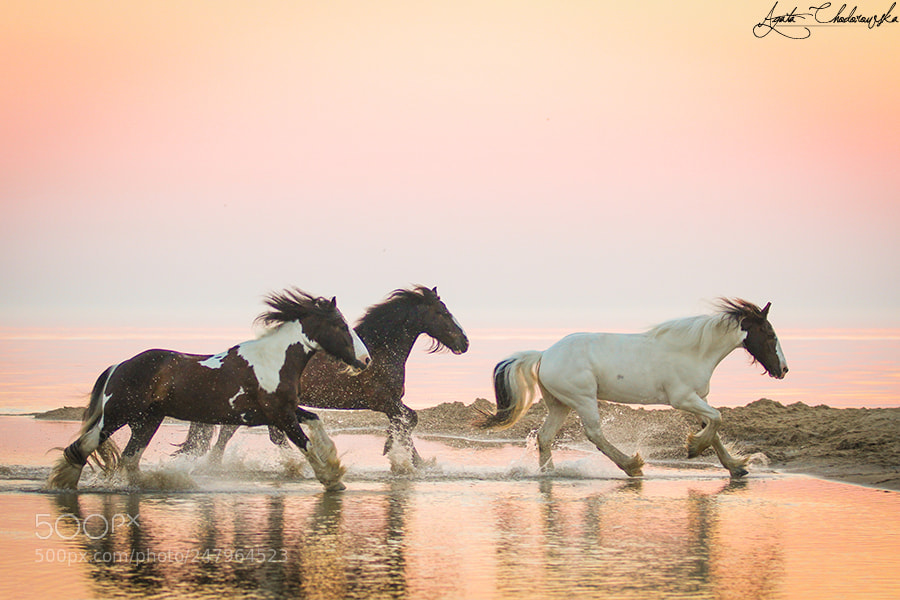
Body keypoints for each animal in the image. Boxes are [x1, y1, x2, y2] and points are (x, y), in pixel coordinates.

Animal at [47, 289, 371, 492]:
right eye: (340, 325)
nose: (366, 360)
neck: (275, 359)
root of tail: (120, 365)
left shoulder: (283, 411)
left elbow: (317, 422)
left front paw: (335, 465)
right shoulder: (280, 415)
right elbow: (305, 445)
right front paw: (331, 479)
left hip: (148, 419)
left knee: (129, 457)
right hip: (118, 414)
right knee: (82, 446)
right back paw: (63, 483)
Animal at [176, 286, 470, 472]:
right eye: (443, 313)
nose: (464, 343)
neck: (381, 352)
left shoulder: (390, 403)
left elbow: (404, 423)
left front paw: (411, 460)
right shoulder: (383, 401)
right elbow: (409, 420)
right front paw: (401, 458)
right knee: (240, 433)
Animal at [479, 299, 788, 478]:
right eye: (770, 334)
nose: (783, 370)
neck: (693, 351)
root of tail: (544, 354)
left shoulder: (698, 399)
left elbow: (714, 430)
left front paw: (736, 466)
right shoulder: (683, 399)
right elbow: (717, 420)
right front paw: (693, 448)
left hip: (560, 403)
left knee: (544, 437)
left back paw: (550, 474)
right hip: (582, 399)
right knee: (594, 434)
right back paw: (631, 465)